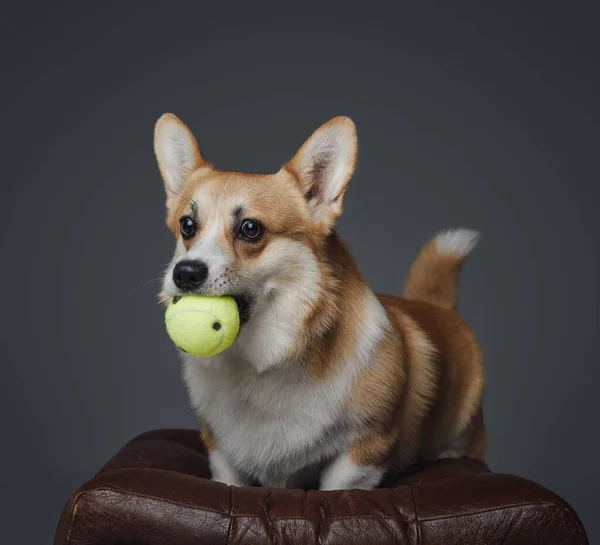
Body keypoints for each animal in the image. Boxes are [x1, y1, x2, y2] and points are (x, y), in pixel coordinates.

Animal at [155, 113, 488, 488]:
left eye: (251, 229)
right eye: (187, 226)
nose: (185, 273)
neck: (262, 361)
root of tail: (438, 307)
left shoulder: (363, 452)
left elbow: (337, 487)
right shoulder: (221, 457)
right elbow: (229, 479)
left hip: (463, 436)